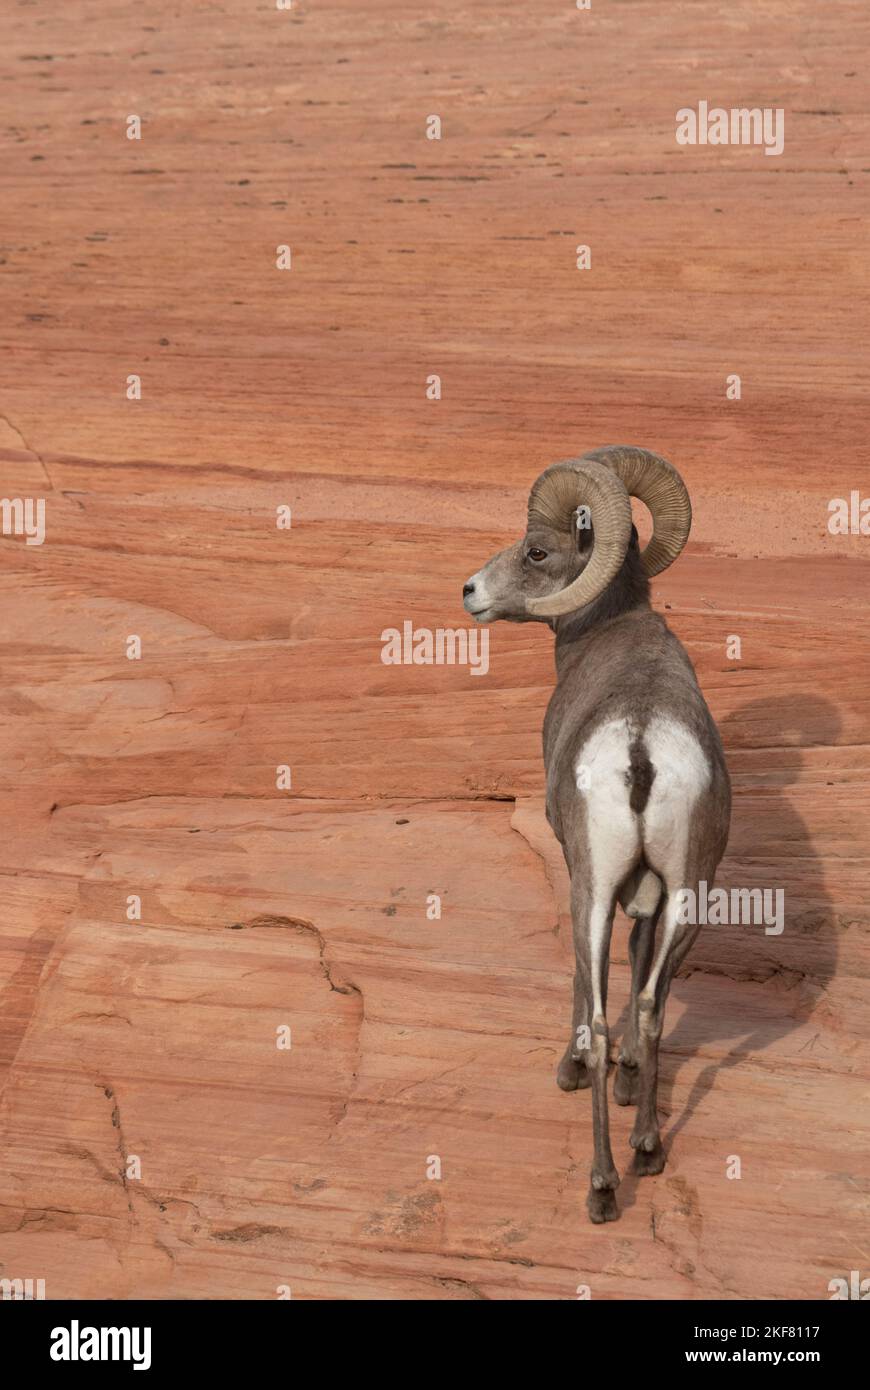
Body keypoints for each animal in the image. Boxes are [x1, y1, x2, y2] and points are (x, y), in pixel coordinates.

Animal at [464, 447, 728, 1228]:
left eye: (536, 551)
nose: (470, 592)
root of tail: (640, 750)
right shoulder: (653, 898)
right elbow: (641, 975)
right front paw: (627, 1082)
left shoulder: (582, 874)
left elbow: (585, 985)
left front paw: (577, 1069)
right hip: (688, 900)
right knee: (649, 1007)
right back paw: (647, 1148)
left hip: (592, 891)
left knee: (608, 1010)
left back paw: (603, 1186)